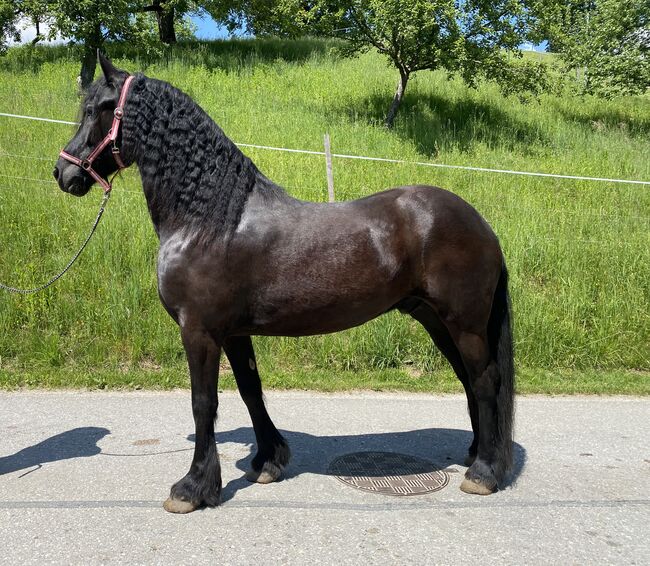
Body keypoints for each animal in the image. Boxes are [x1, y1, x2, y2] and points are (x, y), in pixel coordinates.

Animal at [54, 53, 512, 516]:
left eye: (96, 110)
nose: (63, 172)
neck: (208, 222)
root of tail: (482, 225)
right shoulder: (233, 333)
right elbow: (250, 391)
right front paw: (268, 461)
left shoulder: (199, 331)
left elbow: (204, 403)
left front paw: (192, 488)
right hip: (435, 319)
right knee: (469, 380)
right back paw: (477, 454)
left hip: (464, 323)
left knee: (485, 379)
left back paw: (484, 473)